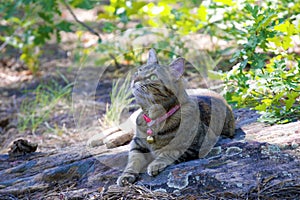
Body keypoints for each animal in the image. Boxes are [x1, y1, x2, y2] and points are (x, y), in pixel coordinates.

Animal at [116, 49, 236, 187]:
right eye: (138, 71)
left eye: (153, 77)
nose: (135, 79)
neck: (154, 117)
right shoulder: (137, 144)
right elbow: (133, 161)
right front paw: (126, 175)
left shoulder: (200, 144)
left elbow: (170, 152)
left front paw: (156, 163)